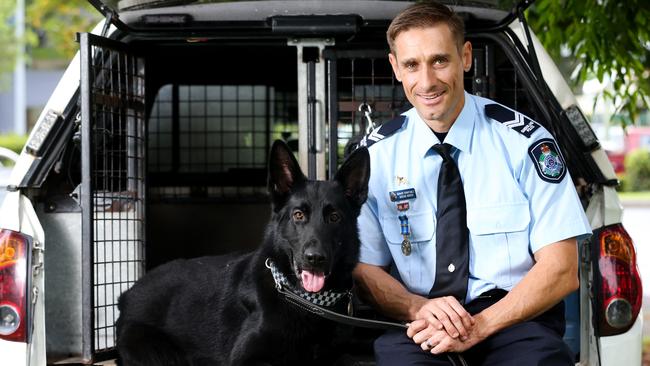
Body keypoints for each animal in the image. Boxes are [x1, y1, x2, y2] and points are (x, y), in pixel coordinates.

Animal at [116, 141, 370, 366]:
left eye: (334, 217)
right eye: (298, 215)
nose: (314, 258)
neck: (307, 302)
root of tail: (127, 294)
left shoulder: (340, 352)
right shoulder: (247, 358)